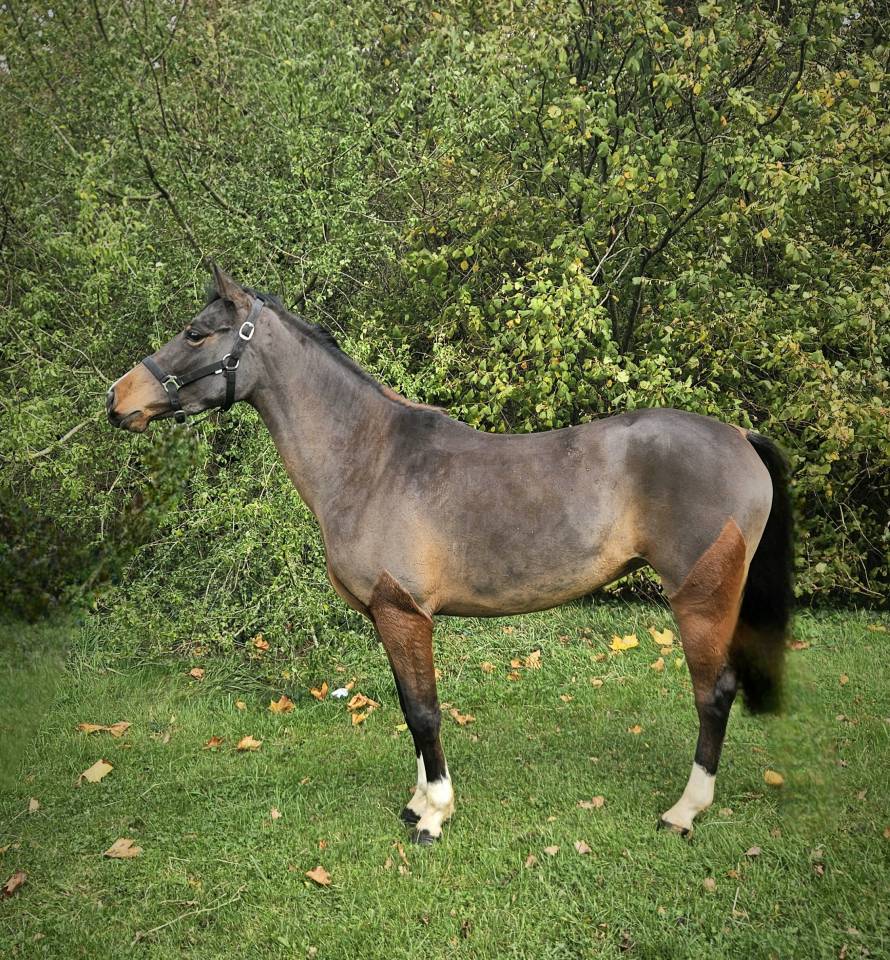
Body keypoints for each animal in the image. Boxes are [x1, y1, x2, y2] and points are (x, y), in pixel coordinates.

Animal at [107, 264, 793, 844]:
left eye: (196, 333)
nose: (119, 399)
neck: (371, 460)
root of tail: (740, 436)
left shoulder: (404, 612)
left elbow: (423, 713)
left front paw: (435, 815)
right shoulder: (390, 620)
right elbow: (409, 707)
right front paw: (417, 803)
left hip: (699, 598)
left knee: (714, 693)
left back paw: (684, 812)